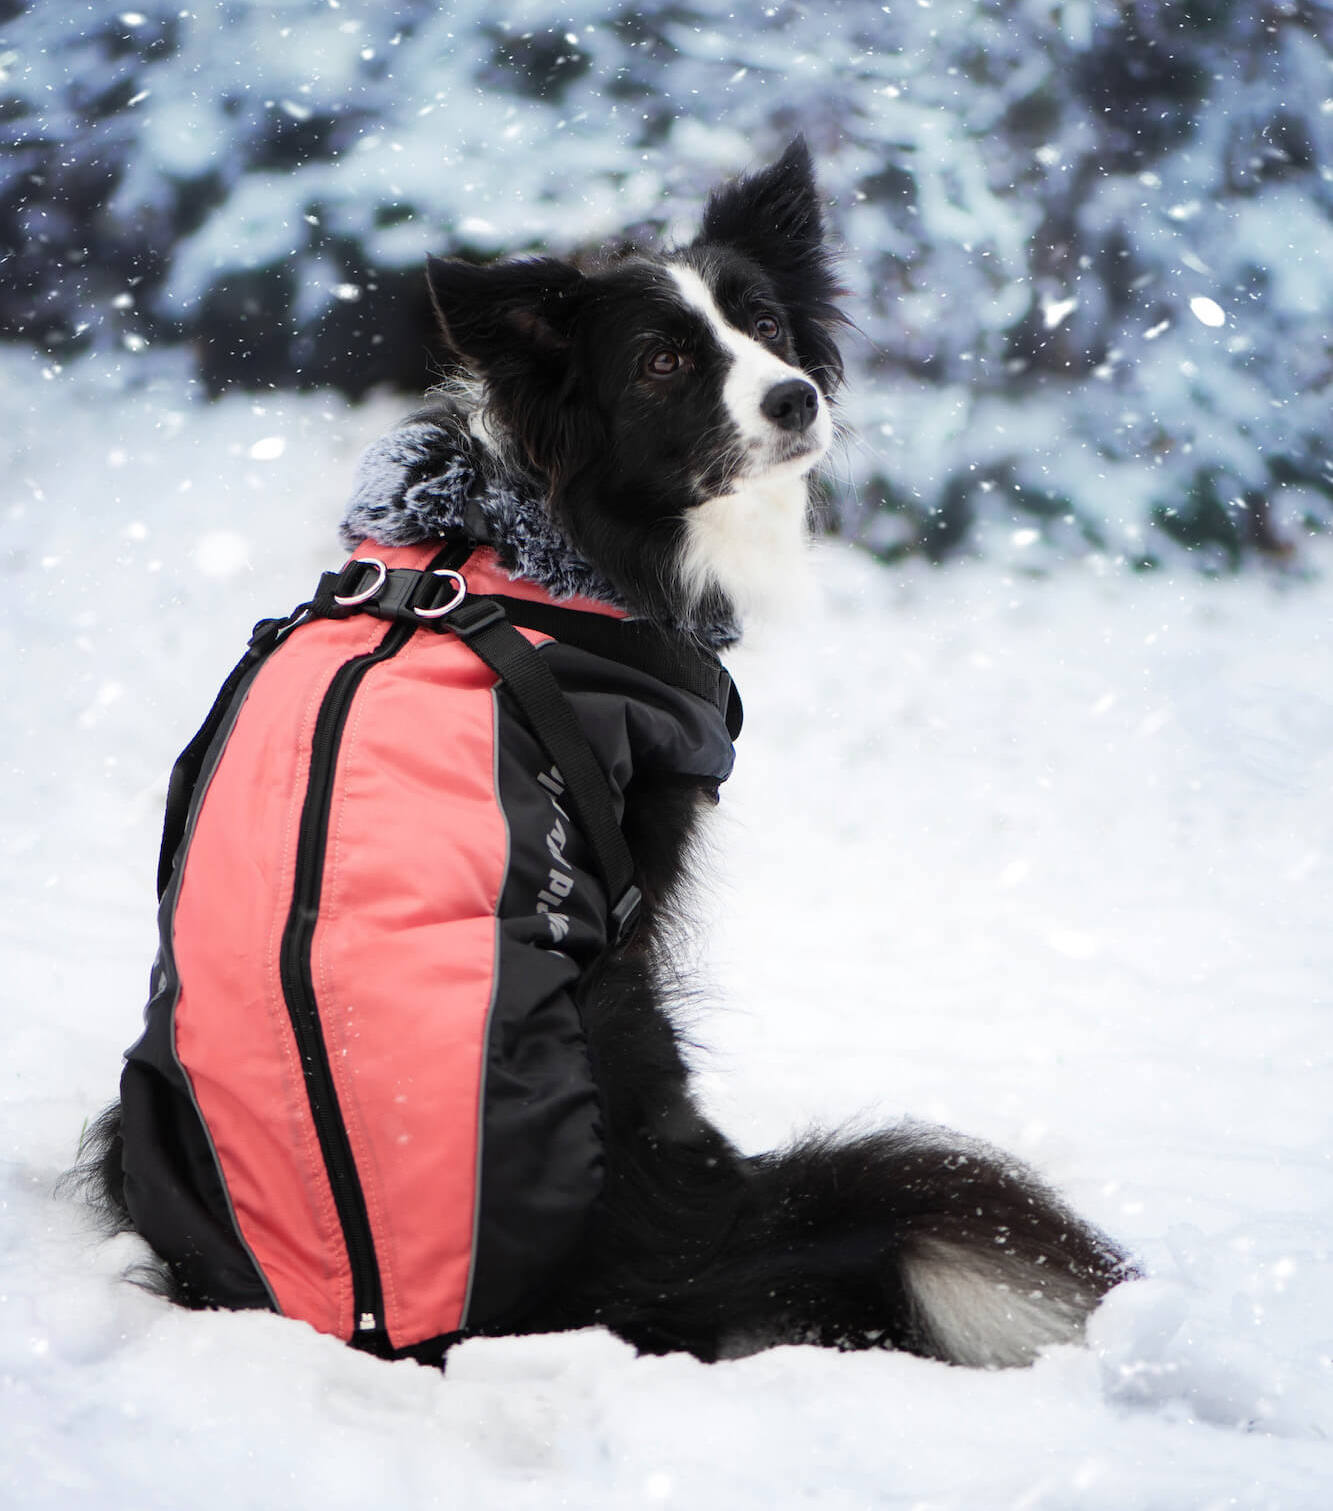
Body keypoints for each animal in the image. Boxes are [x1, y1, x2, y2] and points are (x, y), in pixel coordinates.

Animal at [72, 144, 1124, 1371]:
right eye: (663, 360)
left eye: (766, 323)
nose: (796, 395)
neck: (528, 537)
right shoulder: (648, 835)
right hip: (627, 1023)